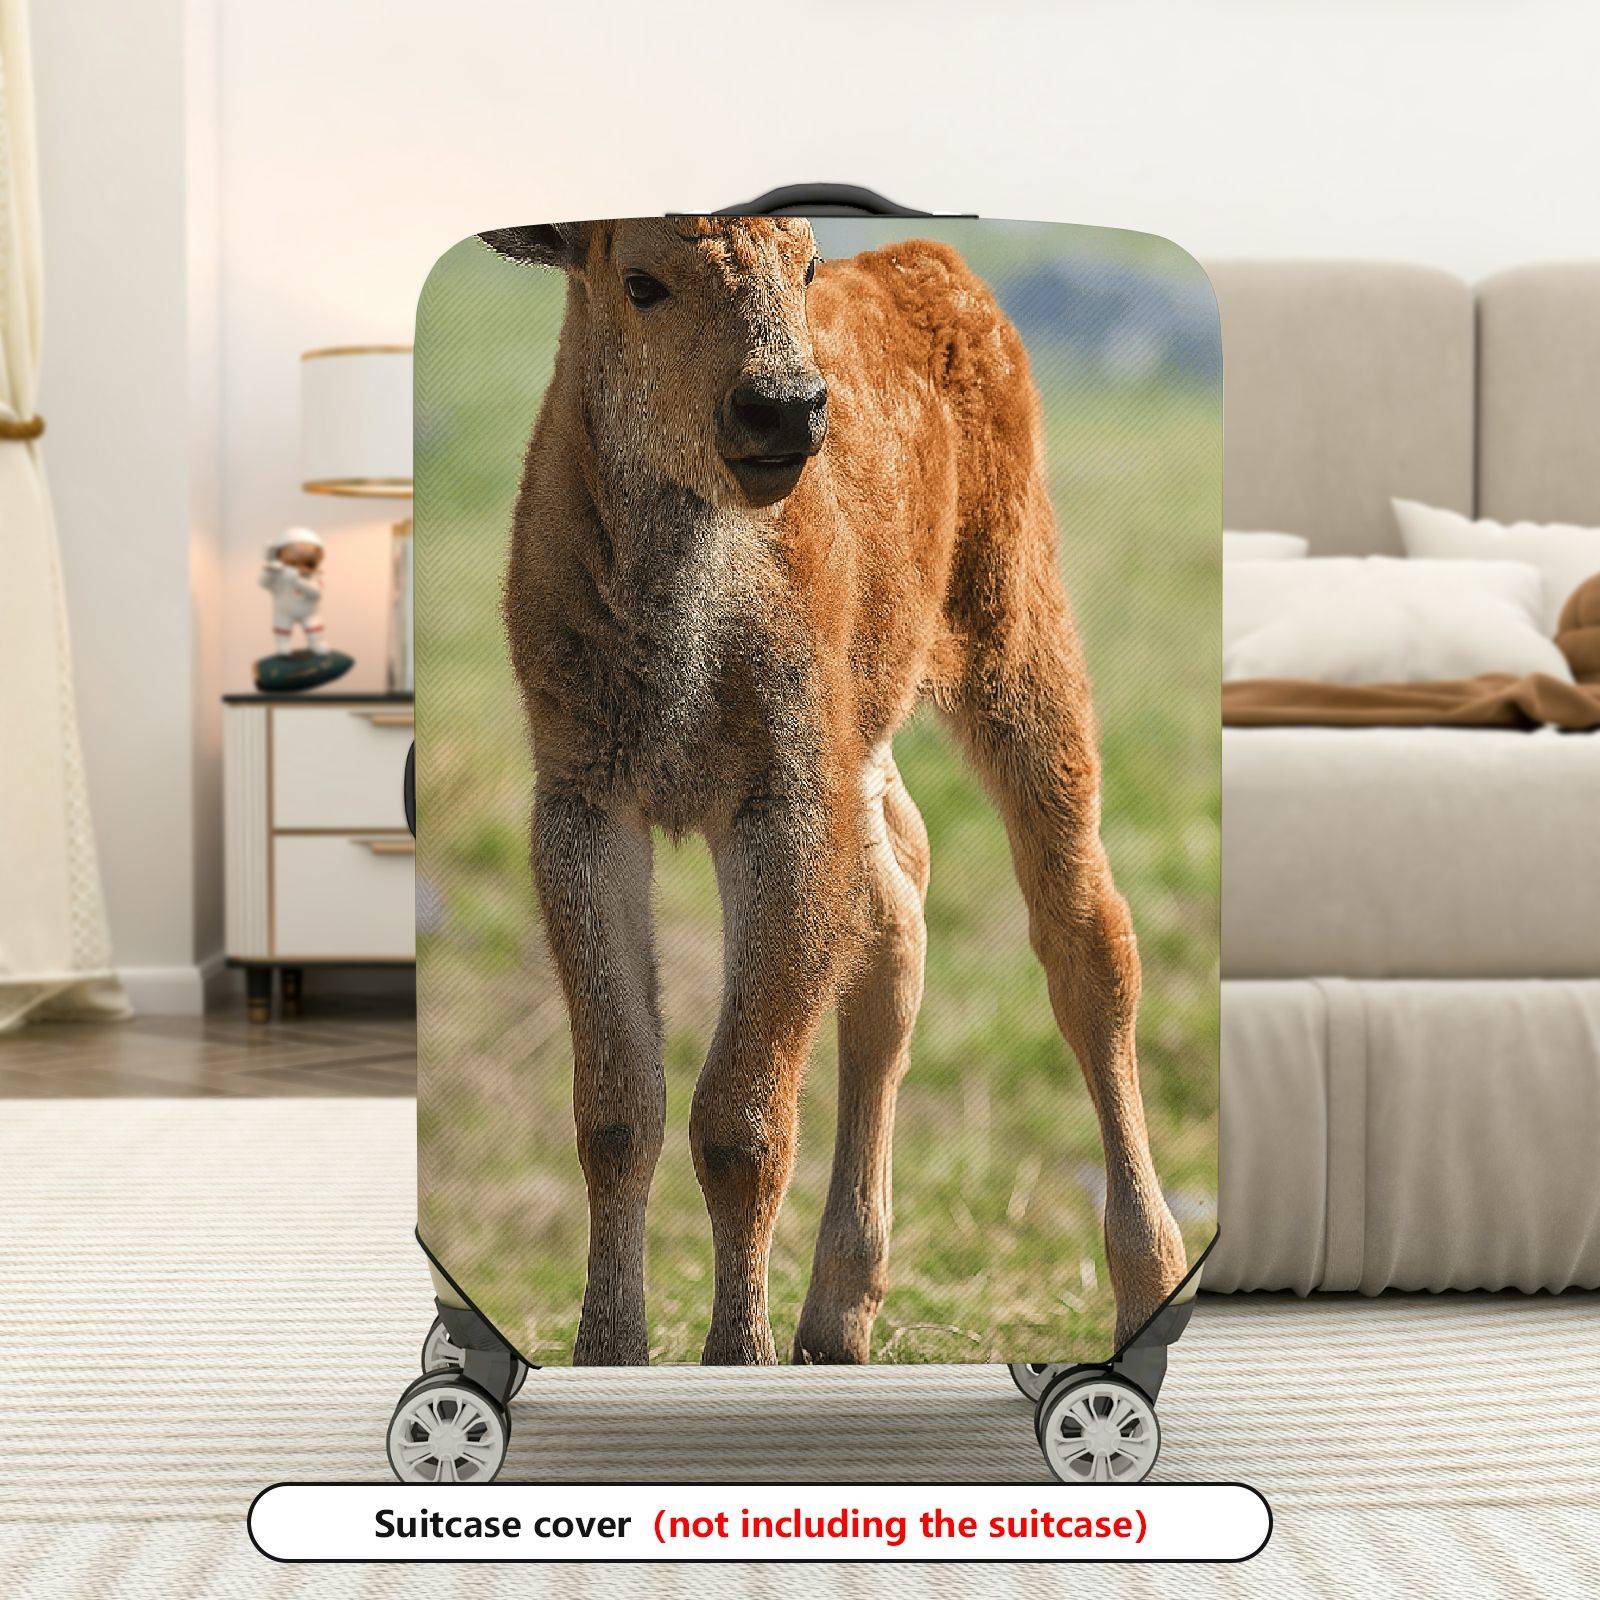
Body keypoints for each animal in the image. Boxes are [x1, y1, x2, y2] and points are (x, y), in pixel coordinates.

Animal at [480, 215, 1187, 1366]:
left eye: (804, 263)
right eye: (640, 281)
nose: (785, 407)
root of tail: (930, 269)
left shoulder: (782, 804)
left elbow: (742, 1117)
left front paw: (737, 1356)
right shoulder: (586, 802)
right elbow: (619, 1107)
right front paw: (611, 1349)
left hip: (1018, 643)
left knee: (1086, 937)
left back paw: (1146, 1284)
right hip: (874, 733)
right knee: (897, 924)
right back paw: (835, 1315)